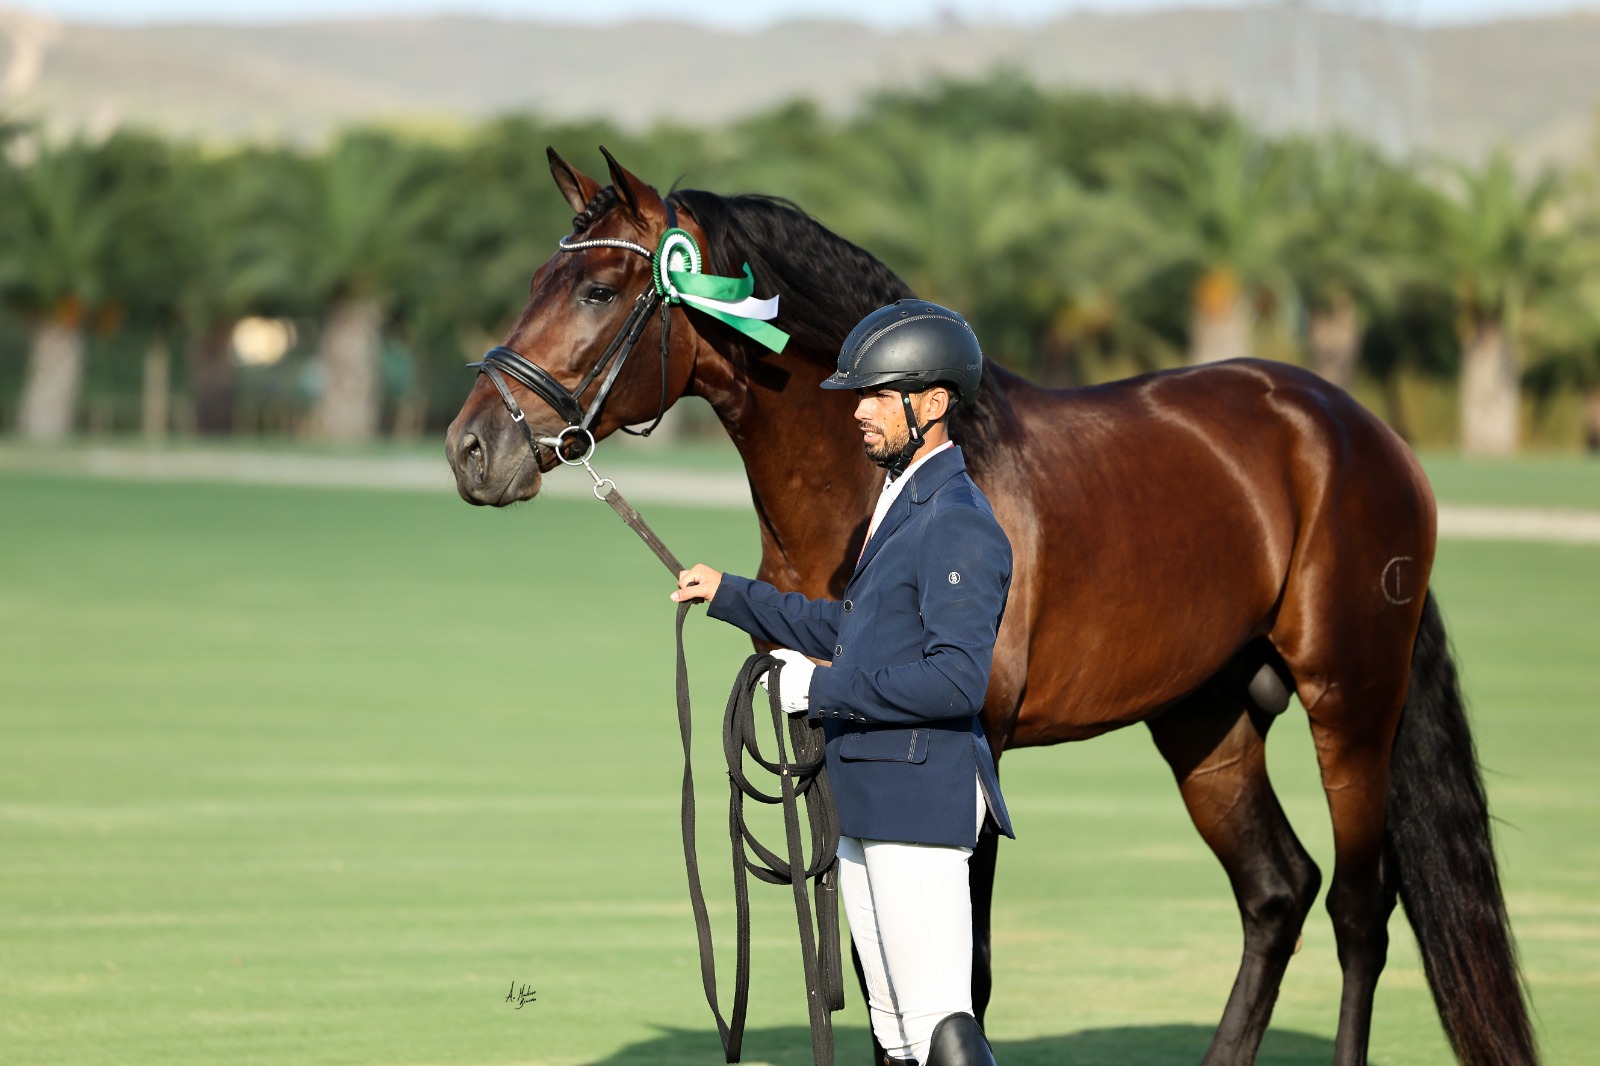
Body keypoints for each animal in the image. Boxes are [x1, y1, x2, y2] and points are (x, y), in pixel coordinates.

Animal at [441, 149, 1536, 1062]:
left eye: (597, 288)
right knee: (1278, 891)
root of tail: (1358, 428)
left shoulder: (969, 755)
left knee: (1358, 909)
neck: (878, 490)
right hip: (1205, 719)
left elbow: (954, 982)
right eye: (538, 282)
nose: (470, 449)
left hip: (1351, 702)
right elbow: (874, 976)